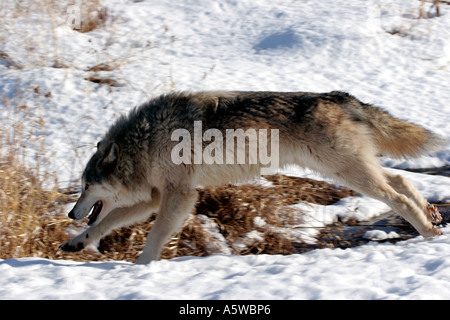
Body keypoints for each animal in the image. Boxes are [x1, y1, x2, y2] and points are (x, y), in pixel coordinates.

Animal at [59, 91, 446, 264]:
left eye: (86, 186)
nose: (70, 213)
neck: (145, 141)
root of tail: (340, 97)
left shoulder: (179, 195)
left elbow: (153, 237)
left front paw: (141, 267)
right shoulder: (155, 197)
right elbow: (105, 222)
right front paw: (76, 242)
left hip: (348, 172)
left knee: (397, 195)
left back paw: (429, 231)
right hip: (349, 171)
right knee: (402, 182)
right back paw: (432, 216)